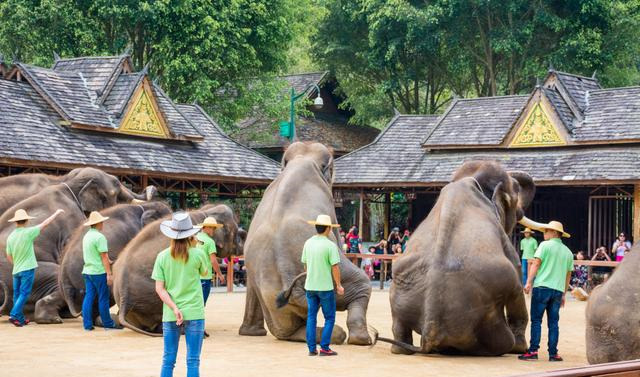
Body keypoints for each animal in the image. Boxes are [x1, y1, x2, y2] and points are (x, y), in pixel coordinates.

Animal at [239, 142, 370, 346]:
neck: (303, 159)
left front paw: (251, 333)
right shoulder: (330, 207)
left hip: (275, 302)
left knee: (286, 331)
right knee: (362, 284)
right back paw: (361, 338)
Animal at [382, 160, 536, 354]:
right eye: (515, 190)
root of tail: (429, 334)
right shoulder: (507, 245)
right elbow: (517, 277)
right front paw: (521, 348)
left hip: (399, 295)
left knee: (399, 328)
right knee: (514, 291)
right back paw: (517, 347)